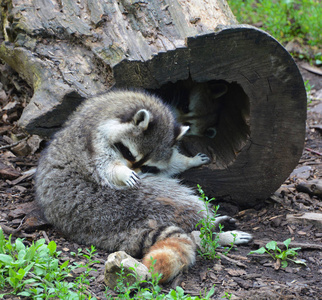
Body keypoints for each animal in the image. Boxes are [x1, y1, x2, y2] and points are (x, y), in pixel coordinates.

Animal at [34, 90, 252, 282]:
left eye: (149, 166)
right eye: (129, 153)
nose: (139, 173)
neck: (114, 107)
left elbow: (171, 164)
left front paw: (188, 161)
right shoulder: (92, 139)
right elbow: (105, 165)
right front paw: (121, 172)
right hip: (110, 203)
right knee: (183, 203)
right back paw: (212, 231)